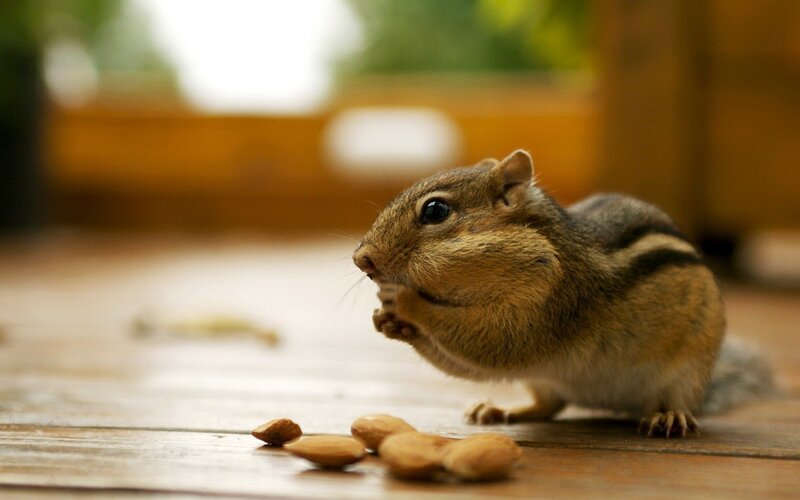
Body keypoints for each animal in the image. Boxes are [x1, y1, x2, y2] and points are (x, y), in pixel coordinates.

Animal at [353, 149, 773, 438]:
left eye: (436, 211)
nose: (362, 259)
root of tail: (617, 405)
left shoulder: (547, 305)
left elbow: (490, 342)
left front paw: (404, 303)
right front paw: (388, 323)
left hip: (688, 370)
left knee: (679, 401)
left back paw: (671, 416)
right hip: (544, 379)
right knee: (548, 407)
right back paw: (502, 411)